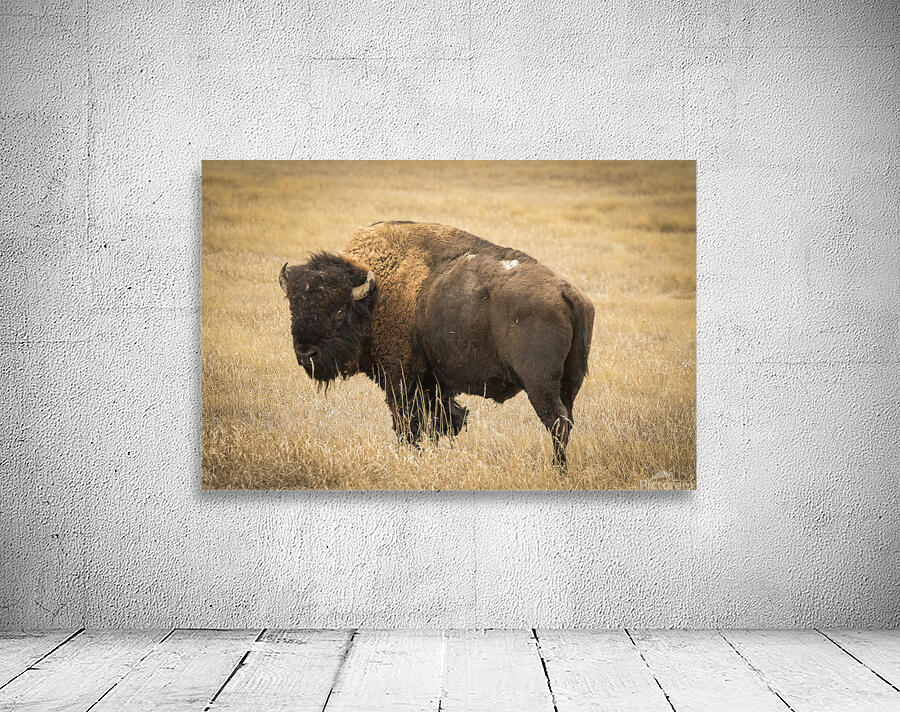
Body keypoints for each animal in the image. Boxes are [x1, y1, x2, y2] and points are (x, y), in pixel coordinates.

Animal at [279, 221, 594, 468]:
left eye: (339, 310)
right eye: (294, 307)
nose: (306, 353)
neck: (375, 296)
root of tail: (567, 293)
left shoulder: (400, 379)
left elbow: (409, 424)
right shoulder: (434, 382)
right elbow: (441, 422)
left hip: (539, 383)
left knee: (557, 423)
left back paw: (556, 468)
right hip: (570, 381)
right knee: (567, 419)